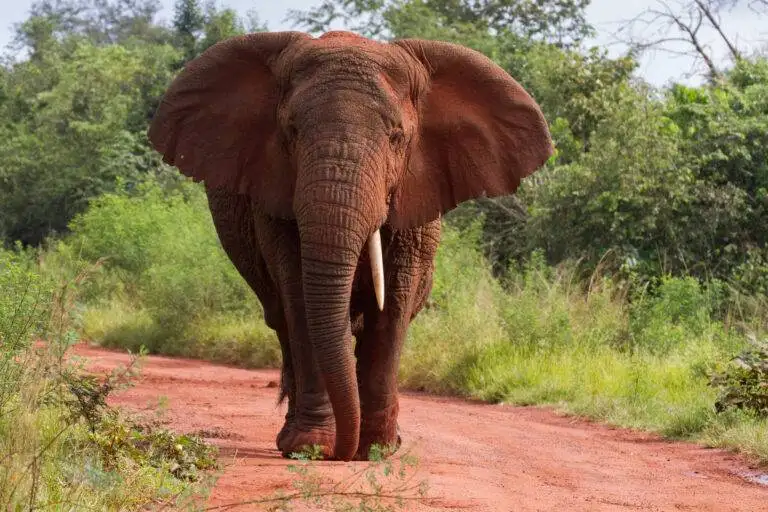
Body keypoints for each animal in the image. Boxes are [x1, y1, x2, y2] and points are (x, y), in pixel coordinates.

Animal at [146, 30, 553, 461]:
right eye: (291, 132)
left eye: (397, 137)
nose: (344, 449)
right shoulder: (273, 197)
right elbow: (300, 296)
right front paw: (313, 447)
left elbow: (395, 300)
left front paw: (376, 450)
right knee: (284, 321)